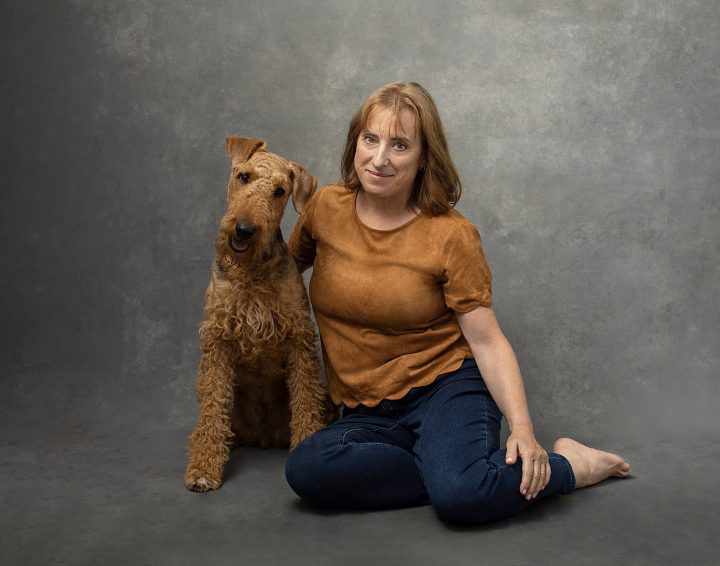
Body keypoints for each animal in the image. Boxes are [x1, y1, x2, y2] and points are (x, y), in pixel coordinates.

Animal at [186, 136, 332, 492]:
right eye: (243, 176)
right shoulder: (217, 337)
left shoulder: (298, 336)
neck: (250, 272)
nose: (244, 230)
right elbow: (213, 408)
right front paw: (204, 469)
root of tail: (263, 436)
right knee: (215, 418)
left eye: (279, 191)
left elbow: (305, 399)